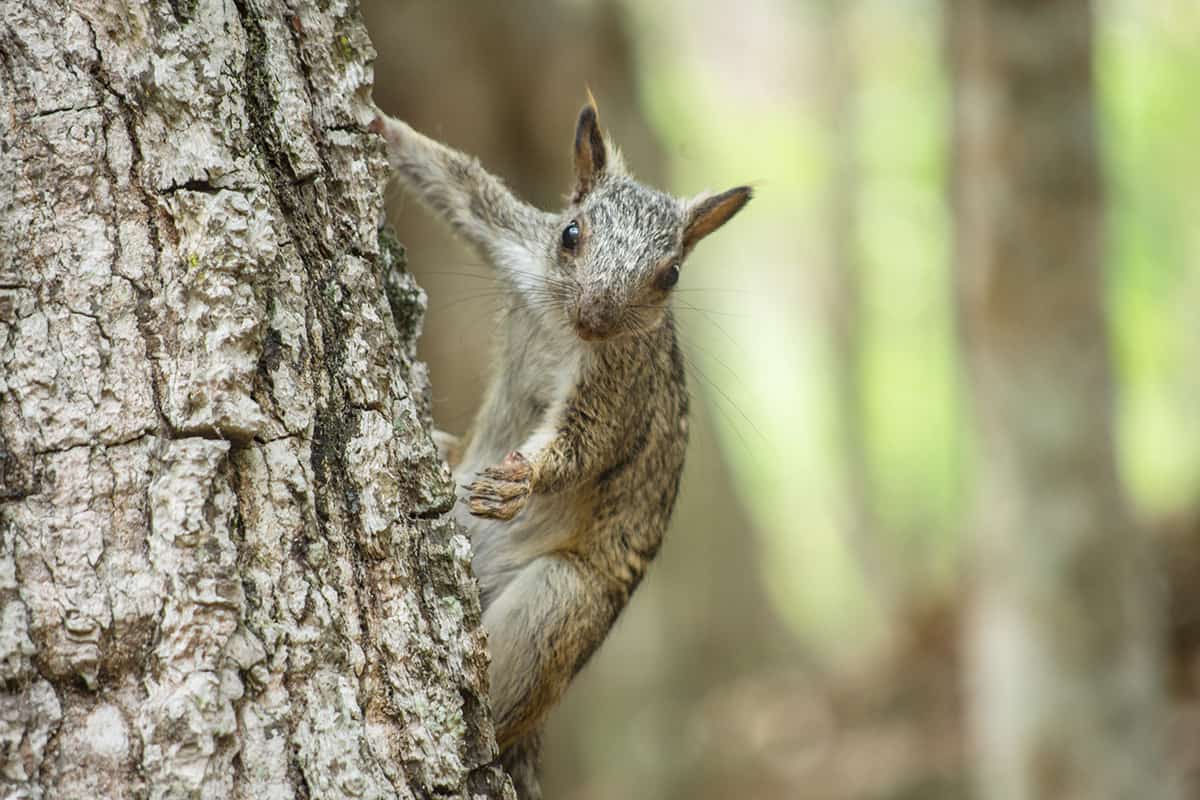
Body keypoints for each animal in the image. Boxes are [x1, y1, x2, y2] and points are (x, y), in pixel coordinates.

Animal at [371, 97, 750, 796]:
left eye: (670, 275)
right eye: (571, 234)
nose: (596, 317)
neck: (563, 326)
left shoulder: (623, 384)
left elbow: (586, 443)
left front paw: (521, 479)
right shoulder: (514, 241)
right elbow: (461, 185)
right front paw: (379, 123)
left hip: (563, 603)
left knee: (502, 712)